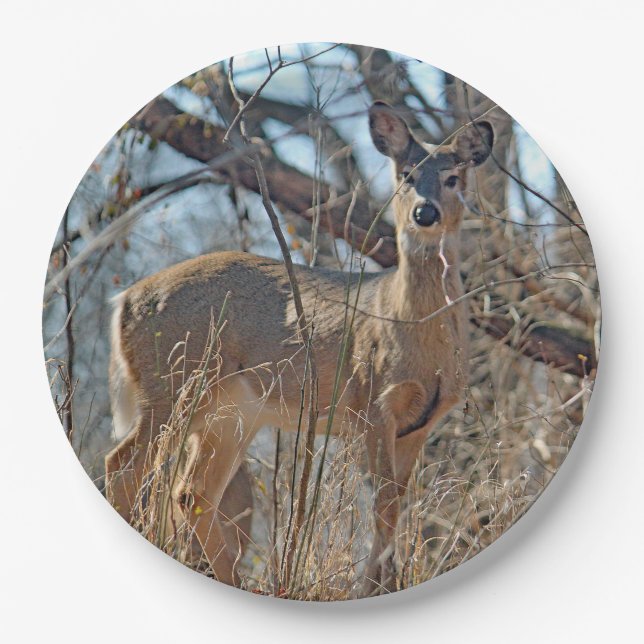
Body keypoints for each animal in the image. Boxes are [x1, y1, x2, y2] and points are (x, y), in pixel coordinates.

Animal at [104, 101, 494, 596]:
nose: (425, 213)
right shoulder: (371, 403)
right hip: (172, 384)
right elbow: (384, 506)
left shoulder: (420, 426)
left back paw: (238, 582)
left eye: (454, 177)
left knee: (191, 492)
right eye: (405, 174)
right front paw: (370, 588)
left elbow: (397, 509)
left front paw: (386, 584)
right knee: (123, 466)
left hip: (230, 413)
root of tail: (126, 300)